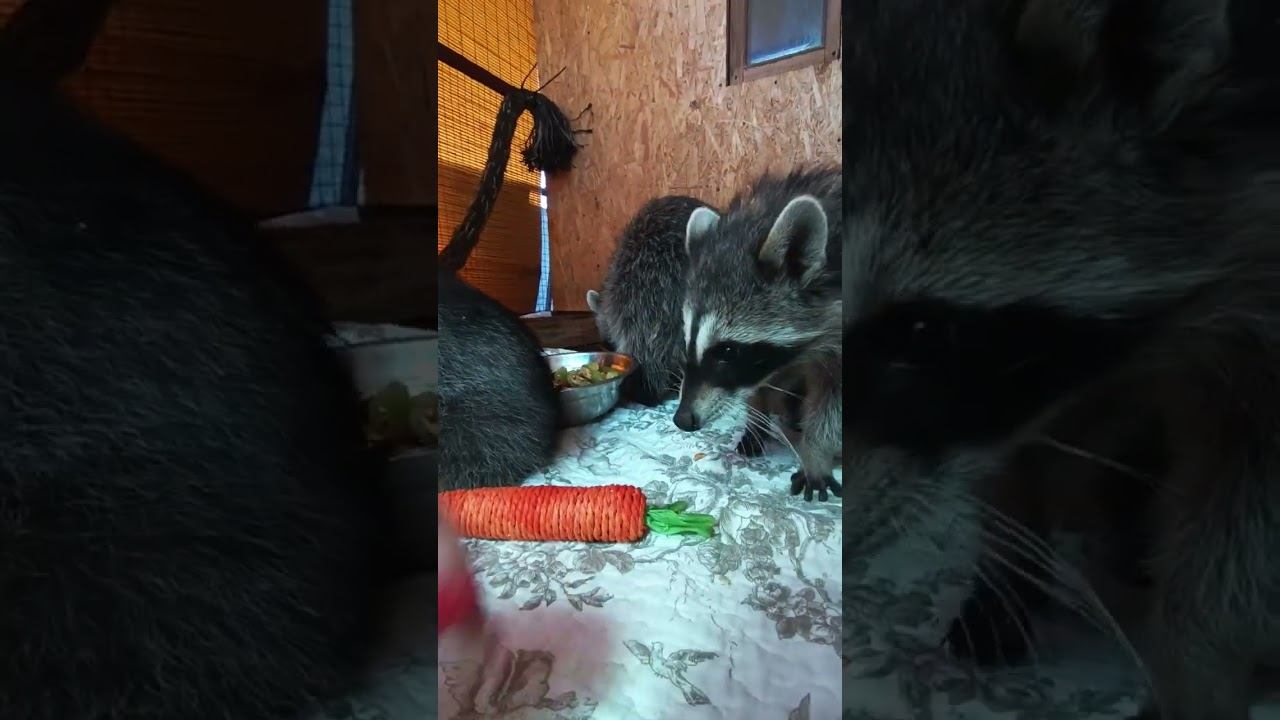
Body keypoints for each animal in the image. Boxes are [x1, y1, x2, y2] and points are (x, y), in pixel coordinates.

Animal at [675, 168, 843, 501]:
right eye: (686, 340)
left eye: (727, 352)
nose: (682, 419)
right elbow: (756, 386)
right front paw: (754, 419)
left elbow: (834, 399)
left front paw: (817, 451)